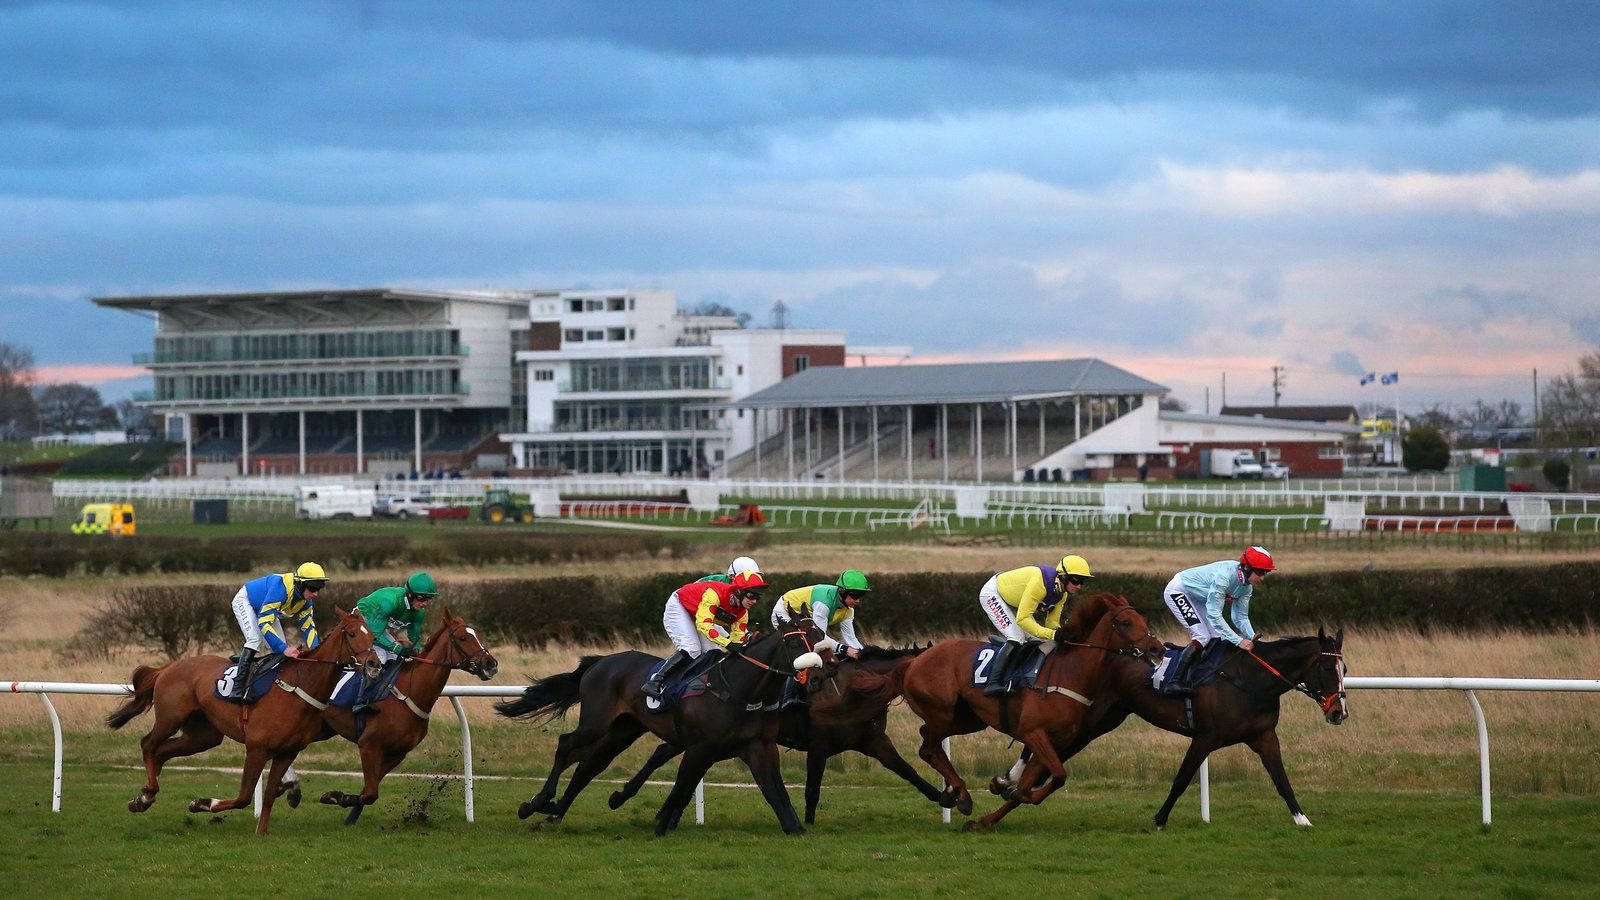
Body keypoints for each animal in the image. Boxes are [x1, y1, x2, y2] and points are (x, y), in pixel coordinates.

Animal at [107, 605, 380, 832]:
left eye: (372, 637)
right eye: (352, 634)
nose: (374, 664)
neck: (299, 685)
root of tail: (168, 667)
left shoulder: (288, 751)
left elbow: (268, 794)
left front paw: (262, 831)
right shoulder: (257, 748)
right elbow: (244, 797)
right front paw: (201, 803)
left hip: (203, 735)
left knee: (162, 751)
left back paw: (145, 795)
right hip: (170, 718)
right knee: (148, 745)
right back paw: (146, 796)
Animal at [312, 608, 499, 819]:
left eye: (478, 636)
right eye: (463, 637)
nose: (491, 664)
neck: (410, 692)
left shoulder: (398, 753)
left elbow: (369, 792)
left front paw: (347, 809)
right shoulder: (368, 745)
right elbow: (370, 792)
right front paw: (335, 797)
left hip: (321, 729)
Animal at [604, 640, 940, 826]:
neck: (852, 688)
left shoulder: (873, 740)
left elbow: (909, 772)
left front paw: (945, 797)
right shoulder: (819, 744)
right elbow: (812, 790)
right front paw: (808, 823)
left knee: (662, 753)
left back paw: (630, 799)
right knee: (662, 756)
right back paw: (627, 799)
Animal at [896, 592, 1158, 816]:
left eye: (1143, 620)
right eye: (1126, 622)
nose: (1157, 648)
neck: (1070, 672)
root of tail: (915, 661)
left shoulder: (1056, 740)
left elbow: (1043, 778)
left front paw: (1008, 787)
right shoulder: (1032, 732)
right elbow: (1058, 775)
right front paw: (1012, 790)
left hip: (967, 719)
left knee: (929, 738)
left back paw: (955, 794)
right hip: (942, 712)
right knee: (928, 748)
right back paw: (961, 794)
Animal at [979, 624, 1344, 826]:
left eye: (1346, 669)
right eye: (1328, 670)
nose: (1338, 713)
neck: (1248, 679)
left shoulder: (1264, 735)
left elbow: (1281, 779)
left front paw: (1303, 820)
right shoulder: (1206, 737)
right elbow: (1182, 779)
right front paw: (1159, 819)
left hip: (1105, 720)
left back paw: (1006, 788)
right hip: (1089, 723)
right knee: (1043, 756)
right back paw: (1006, 788)